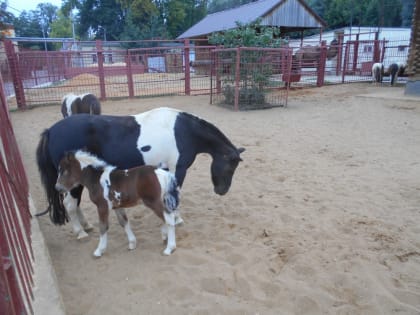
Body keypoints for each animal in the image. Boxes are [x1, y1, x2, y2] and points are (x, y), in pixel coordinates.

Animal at [37, 107, 246, 239]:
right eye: (230, 166)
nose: (222, 191)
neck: (184, 131)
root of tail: (51, 131)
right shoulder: (177, 170)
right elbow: (175, 196)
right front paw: (176, 219)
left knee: (75, 203)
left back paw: (86, 226)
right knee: (70, 204)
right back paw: (80, 232)